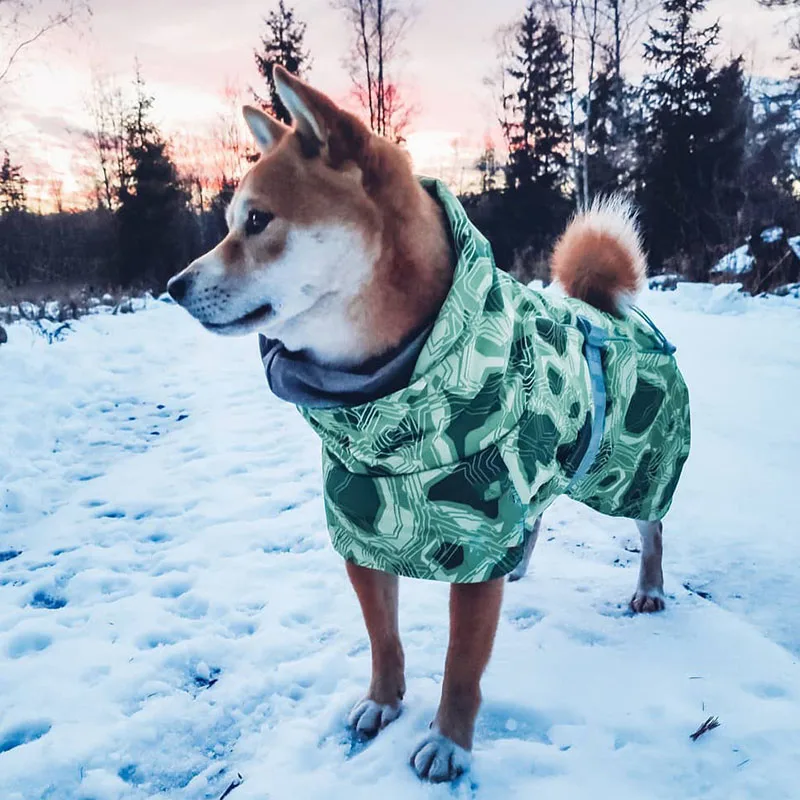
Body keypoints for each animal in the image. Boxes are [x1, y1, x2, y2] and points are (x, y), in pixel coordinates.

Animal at [167, 67, 688, 780]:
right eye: (231, 223)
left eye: (256, 220)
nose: (173, 287)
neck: (385, 400)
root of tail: (605, 306)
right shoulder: (361, 527)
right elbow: (383, 637)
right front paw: (383, 702)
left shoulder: (479, 531)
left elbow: (461, 664)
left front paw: (448, 741)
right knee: (540, 514)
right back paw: (522, 564)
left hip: (631, 467)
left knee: (651, 528)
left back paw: (649, 588)